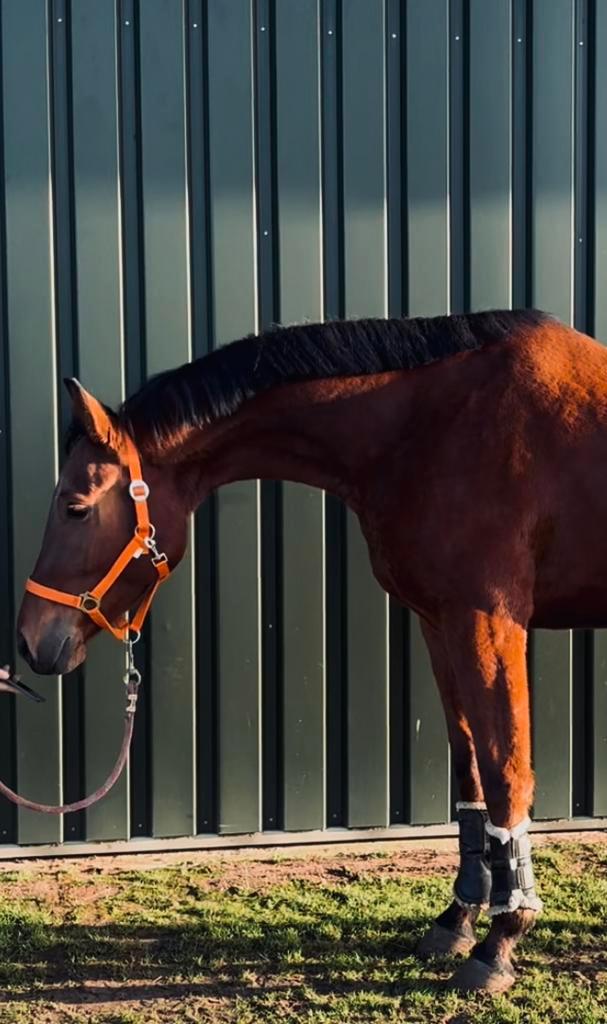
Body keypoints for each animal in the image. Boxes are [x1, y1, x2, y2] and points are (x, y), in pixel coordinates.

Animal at [15, 307, 607, 993]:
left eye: (75, 507)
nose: (30, 640)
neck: (437, 426)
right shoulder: (441, 623)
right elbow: (470, 771)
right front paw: (458, 918)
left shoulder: (488, 621)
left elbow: (507, 770)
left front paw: (501, 940)